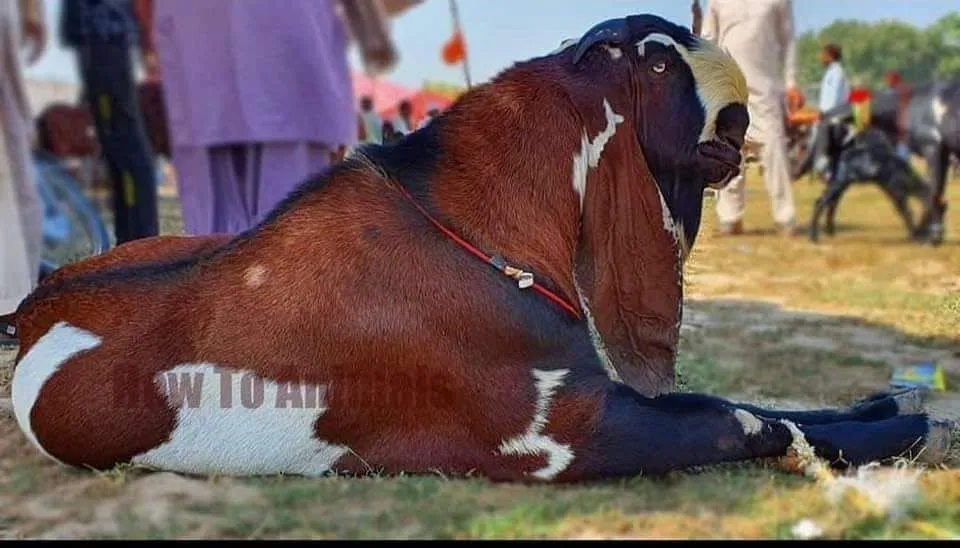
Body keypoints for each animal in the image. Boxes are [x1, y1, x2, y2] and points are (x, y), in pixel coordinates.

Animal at [4, 14, 949, 482]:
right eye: (656, 66)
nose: (745, 119)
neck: (479, 231)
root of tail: (39, 301)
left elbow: (757, 402)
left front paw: (879, 404)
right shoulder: (564, 435)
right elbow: (738, 419)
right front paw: (903, 425)